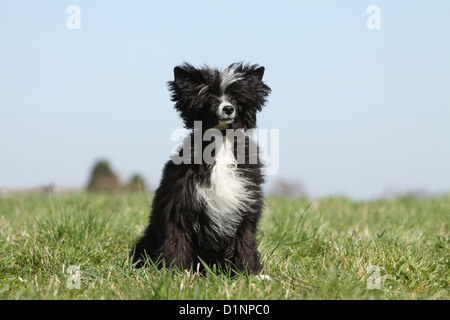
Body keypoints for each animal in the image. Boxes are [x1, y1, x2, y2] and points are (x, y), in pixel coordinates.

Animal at [130, 62, 270, 276]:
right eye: (210, 97)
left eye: (235, 98)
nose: (228, 108)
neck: (221, 140)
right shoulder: (179, 206)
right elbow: (176, 240)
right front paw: (175, 272)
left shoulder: (244, 208)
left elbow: (243, 242)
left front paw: (248, 273)